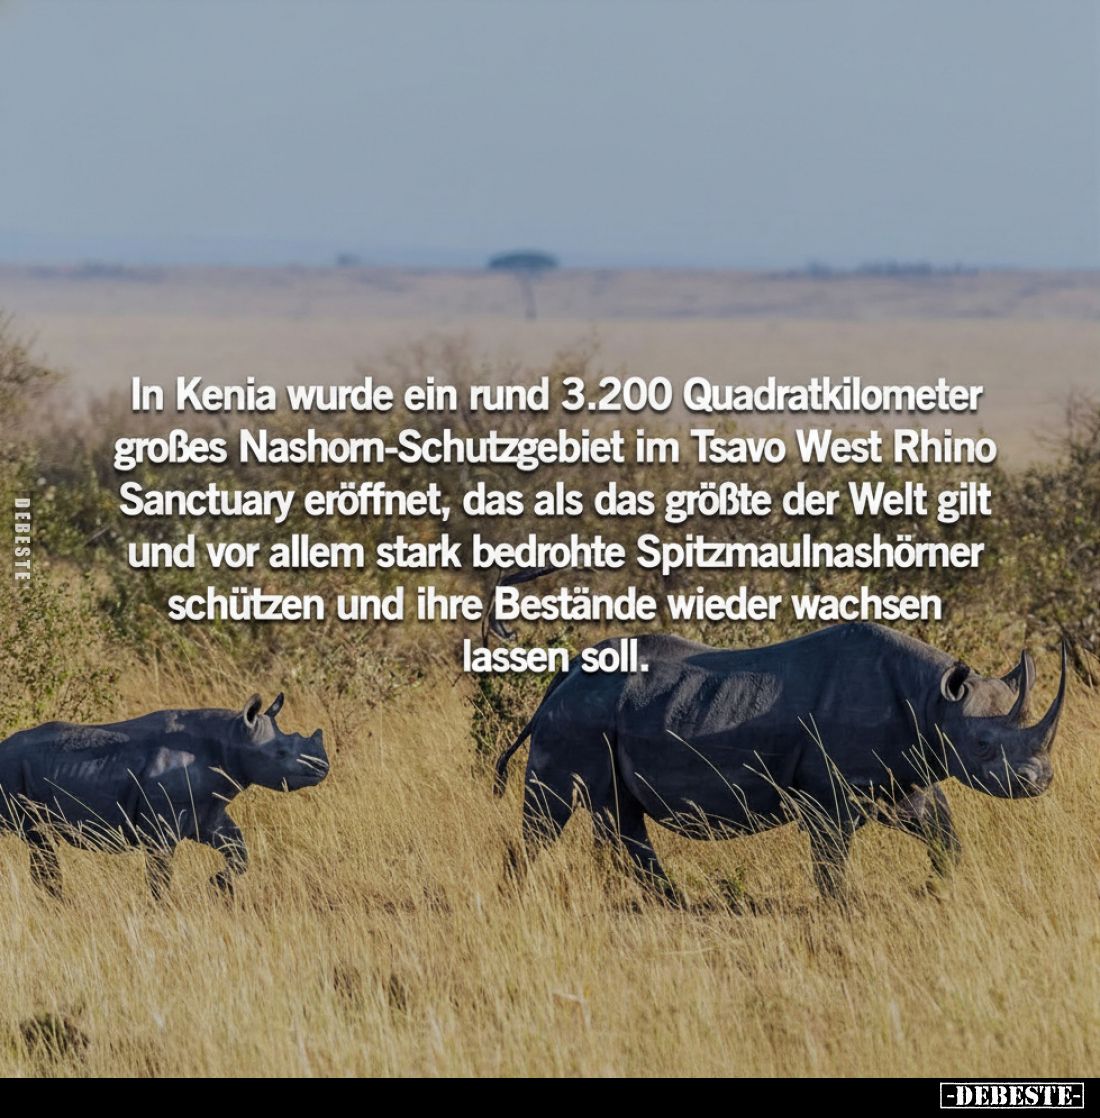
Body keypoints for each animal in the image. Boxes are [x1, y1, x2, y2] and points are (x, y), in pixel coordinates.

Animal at [0, 693, 328, 898]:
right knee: (37, 841)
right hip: (11, 771)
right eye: (281, 753)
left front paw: (217, 885)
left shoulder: (209, 812)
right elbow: (160, 874)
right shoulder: (161, 826)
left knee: (40, 846)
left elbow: (238, 850)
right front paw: (160, 908)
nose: (324, 767)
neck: (233, 738)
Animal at [493, 623, 1066, 901]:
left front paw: (933, 888)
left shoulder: (899, 774)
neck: (932, 702)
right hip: (576, 719)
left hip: (597, 715)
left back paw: (676, 902)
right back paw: (517, 896)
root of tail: (562, 677)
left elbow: (941, 827)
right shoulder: (832, 792)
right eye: (983, 746)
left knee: (620, 814)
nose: (1039, 781)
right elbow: (831, 855)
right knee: (551, 812)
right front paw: (841, 905)